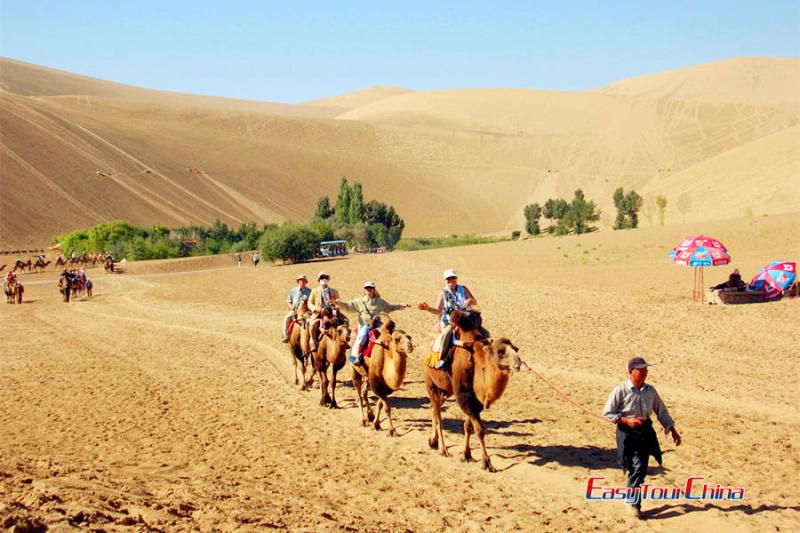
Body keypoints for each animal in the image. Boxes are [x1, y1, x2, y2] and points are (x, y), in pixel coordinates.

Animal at [422, 310, 520, 472]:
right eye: (500, 351)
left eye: (516, 349)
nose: (518, 363)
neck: (477, 363)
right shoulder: (464, 396)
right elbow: (479, 429)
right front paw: (486, 463)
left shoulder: (475, 400)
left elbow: (468, 426)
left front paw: (466, 455)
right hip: (431, 384)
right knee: (438, 415)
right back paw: (443, 449)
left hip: (445, 390)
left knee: (433, 409)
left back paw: (433, 441)